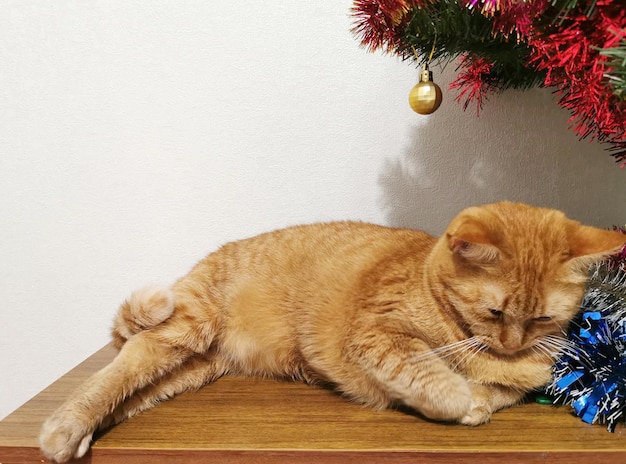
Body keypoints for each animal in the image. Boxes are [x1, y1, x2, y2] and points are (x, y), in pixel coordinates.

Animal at [40, 202, 624, 460]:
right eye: (496, 313)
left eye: (542, 318)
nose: (513, 342)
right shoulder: (377, 338)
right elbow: (436, 379)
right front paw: (464, 400)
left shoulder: (522, 377)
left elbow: (499, 392)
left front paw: (483, 394)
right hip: (186, 326)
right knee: (123, 362)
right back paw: (64, 428)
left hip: (191, 368)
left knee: (132, 387)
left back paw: (85, 431)